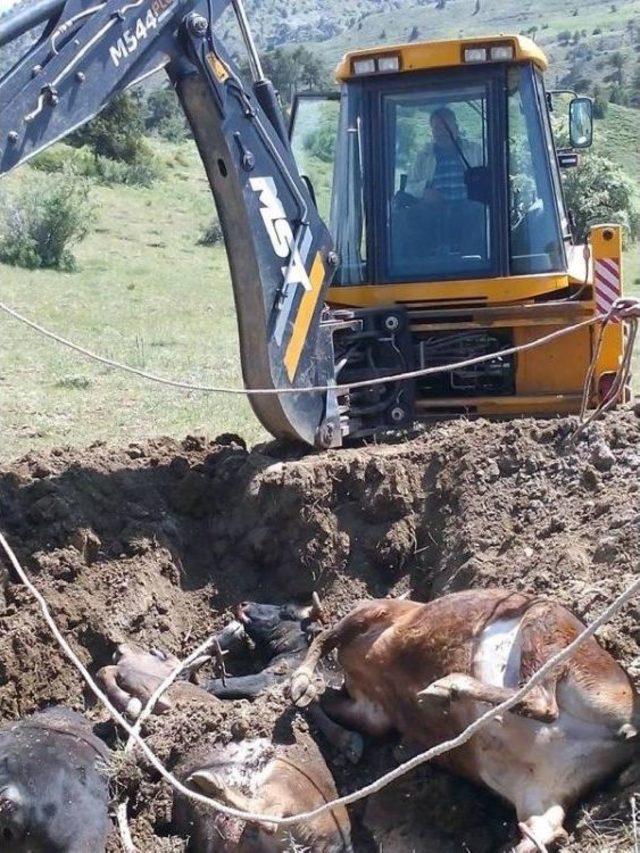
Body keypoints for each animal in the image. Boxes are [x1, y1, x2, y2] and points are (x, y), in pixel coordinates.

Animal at [292, 588, 640, 848]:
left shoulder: (377, 613)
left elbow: (326, 635)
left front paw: (300, 683)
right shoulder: (371, 707)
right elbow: (330, 695)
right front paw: (310, 698)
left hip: (547, 623)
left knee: (540, 699)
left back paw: (445, 688)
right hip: (541, 796)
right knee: (544, 833)